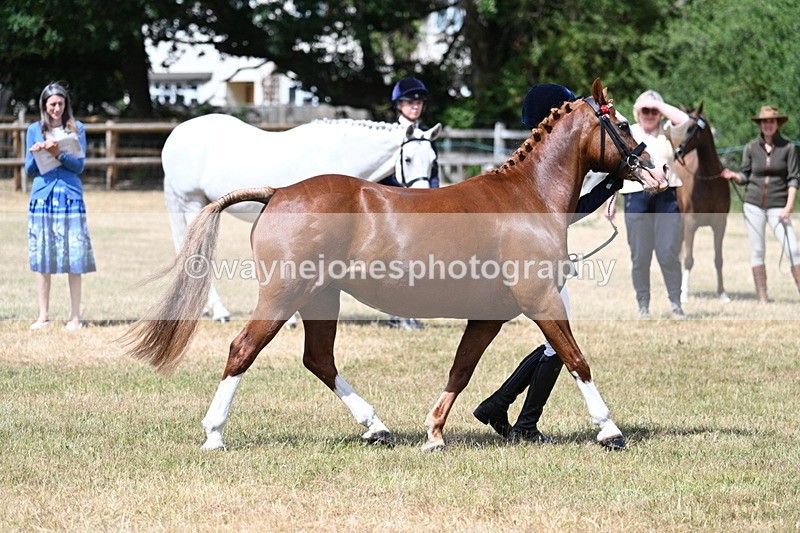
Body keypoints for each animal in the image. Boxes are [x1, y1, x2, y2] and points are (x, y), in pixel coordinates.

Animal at [162, 114, 441, 322]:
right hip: (192, 201)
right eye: (408, 159)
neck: (337, 154)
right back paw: (219, 311)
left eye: (433, 162)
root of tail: (176, 135)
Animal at [674, 105, 730, 303]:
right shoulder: (690, 223)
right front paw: (684, 294)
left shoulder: (720, 224)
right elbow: (689, 259)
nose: (679, 151)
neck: (708, 179)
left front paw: (722, 293)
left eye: (692, 128)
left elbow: (719, 259)